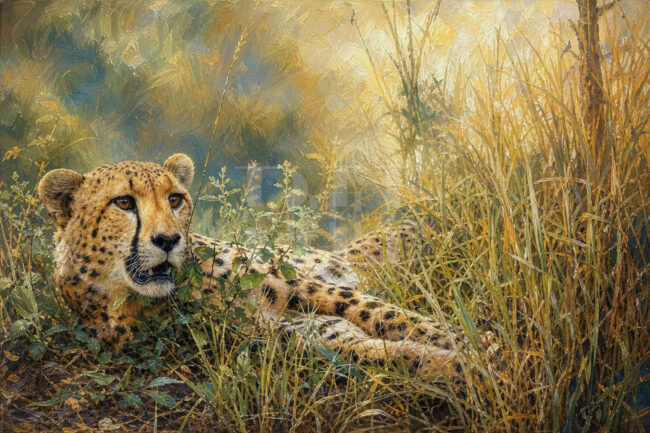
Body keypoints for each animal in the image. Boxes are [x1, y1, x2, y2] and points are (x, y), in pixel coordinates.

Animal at [38, 154, 467, 376]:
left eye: (175, 199)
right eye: (124, 202)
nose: (168, 240)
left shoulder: (299, 286)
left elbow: (389, 316)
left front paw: (471, 346)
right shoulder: (282, 333)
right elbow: (380, 350)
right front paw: (458, 365)